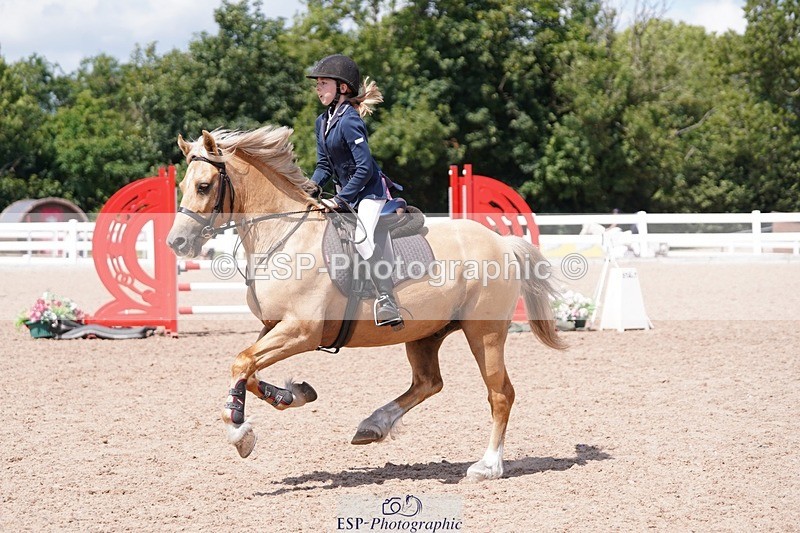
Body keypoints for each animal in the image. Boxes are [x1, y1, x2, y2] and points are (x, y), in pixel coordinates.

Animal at [166, 126, 566, 481]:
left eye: (204, 186)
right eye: (183, 187)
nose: (176, 242)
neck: (284, 237)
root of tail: (502, 243)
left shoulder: (302, 331)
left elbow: (241, 363)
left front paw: (239, 431)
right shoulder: (273, 327)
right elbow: (248, 369)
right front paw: (292, 395)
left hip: (485, 333)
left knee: (500, 394)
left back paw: (488, 466)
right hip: (425, 334)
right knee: (428, 383)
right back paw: (372, 426)